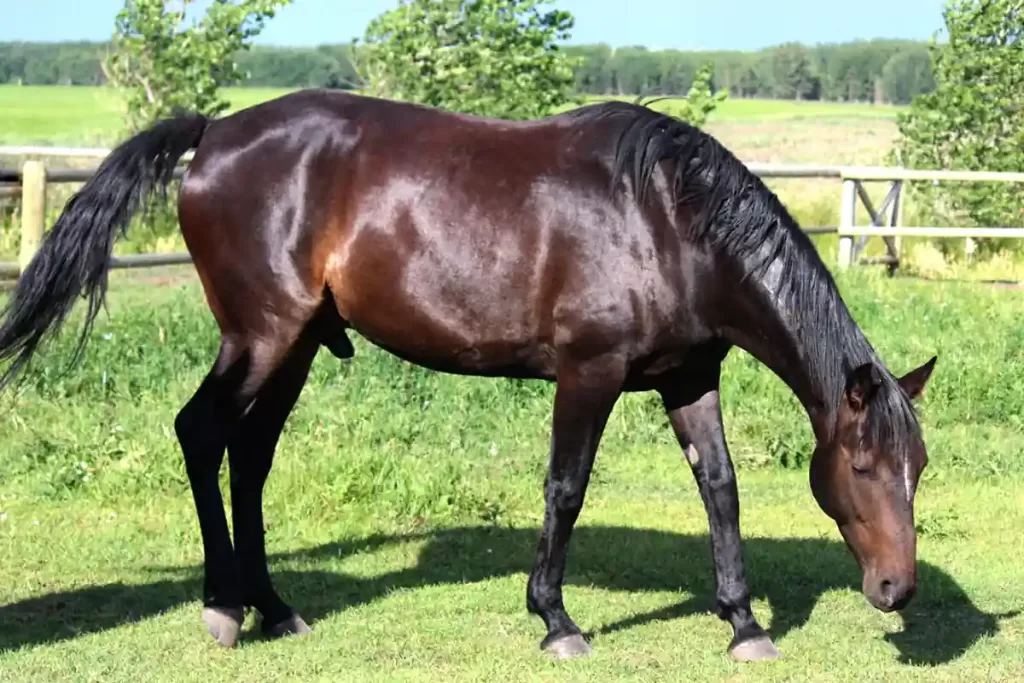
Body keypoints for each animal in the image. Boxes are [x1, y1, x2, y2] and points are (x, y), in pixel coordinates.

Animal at [0, 89, 936, 662]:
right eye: (861, 466)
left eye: (917, 468)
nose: (898, 590)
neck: (667, 219)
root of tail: (215, 133)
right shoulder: (588, 373)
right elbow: (566, 487)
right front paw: (555, 618)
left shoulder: (688, 377)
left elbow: (722, 490)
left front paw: (742, 622)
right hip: (258, 335)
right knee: (202, 434)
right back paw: (224, 606)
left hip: (295, 345)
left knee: (250, 454)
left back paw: (274, 605)